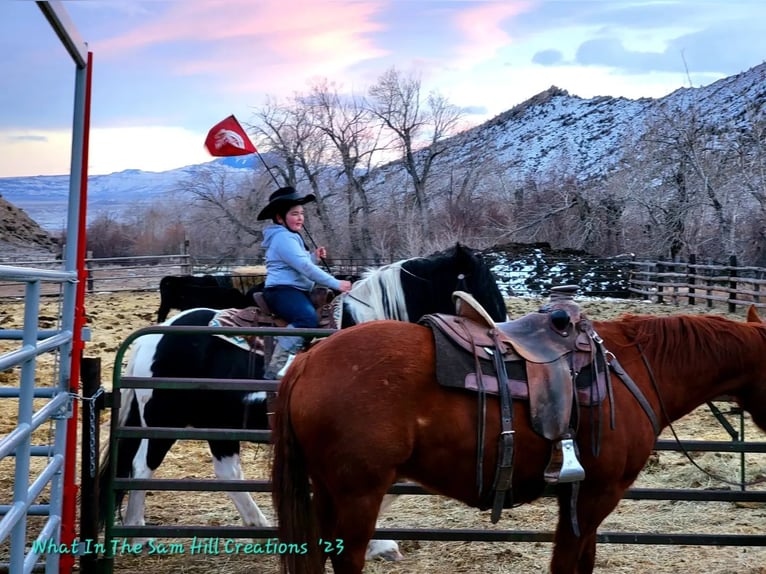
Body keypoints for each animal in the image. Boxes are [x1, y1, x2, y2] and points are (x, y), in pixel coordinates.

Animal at [102, 244, 510, 564]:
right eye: (482, 284)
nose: (502, 333)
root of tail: (152, 339)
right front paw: (375, 543)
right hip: (163, 420)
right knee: (140, 469)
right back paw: (138, 534)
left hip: (217, 423)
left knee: (226, 471)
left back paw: (259, 526)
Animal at [272, 316, 766, 574]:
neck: (635, 370)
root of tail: (308, 360)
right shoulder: (597, 493)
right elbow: (566, 564)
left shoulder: (580, 496)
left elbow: (583, 561)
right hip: (360, 494)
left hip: (328, 491)